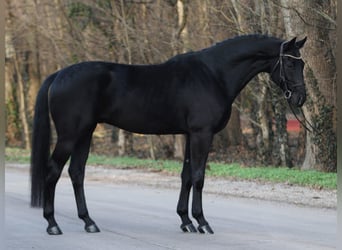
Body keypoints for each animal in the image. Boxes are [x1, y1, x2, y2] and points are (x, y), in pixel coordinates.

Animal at [29, 34, 308, 235]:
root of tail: (59, 75)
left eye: (302, 62)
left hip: (85, 133)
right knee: (52, 171)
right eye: (290, 62)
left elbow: (186, 176)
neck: (213, 74)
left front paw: (186, 221)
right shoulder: (202, 134)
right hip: (69, 136)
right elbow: (198, 177)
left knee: (77, 173)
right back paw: (52, 224)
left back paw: (89, 222)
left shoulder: (189, 135)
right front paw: (202, 222)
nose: (300, 98)